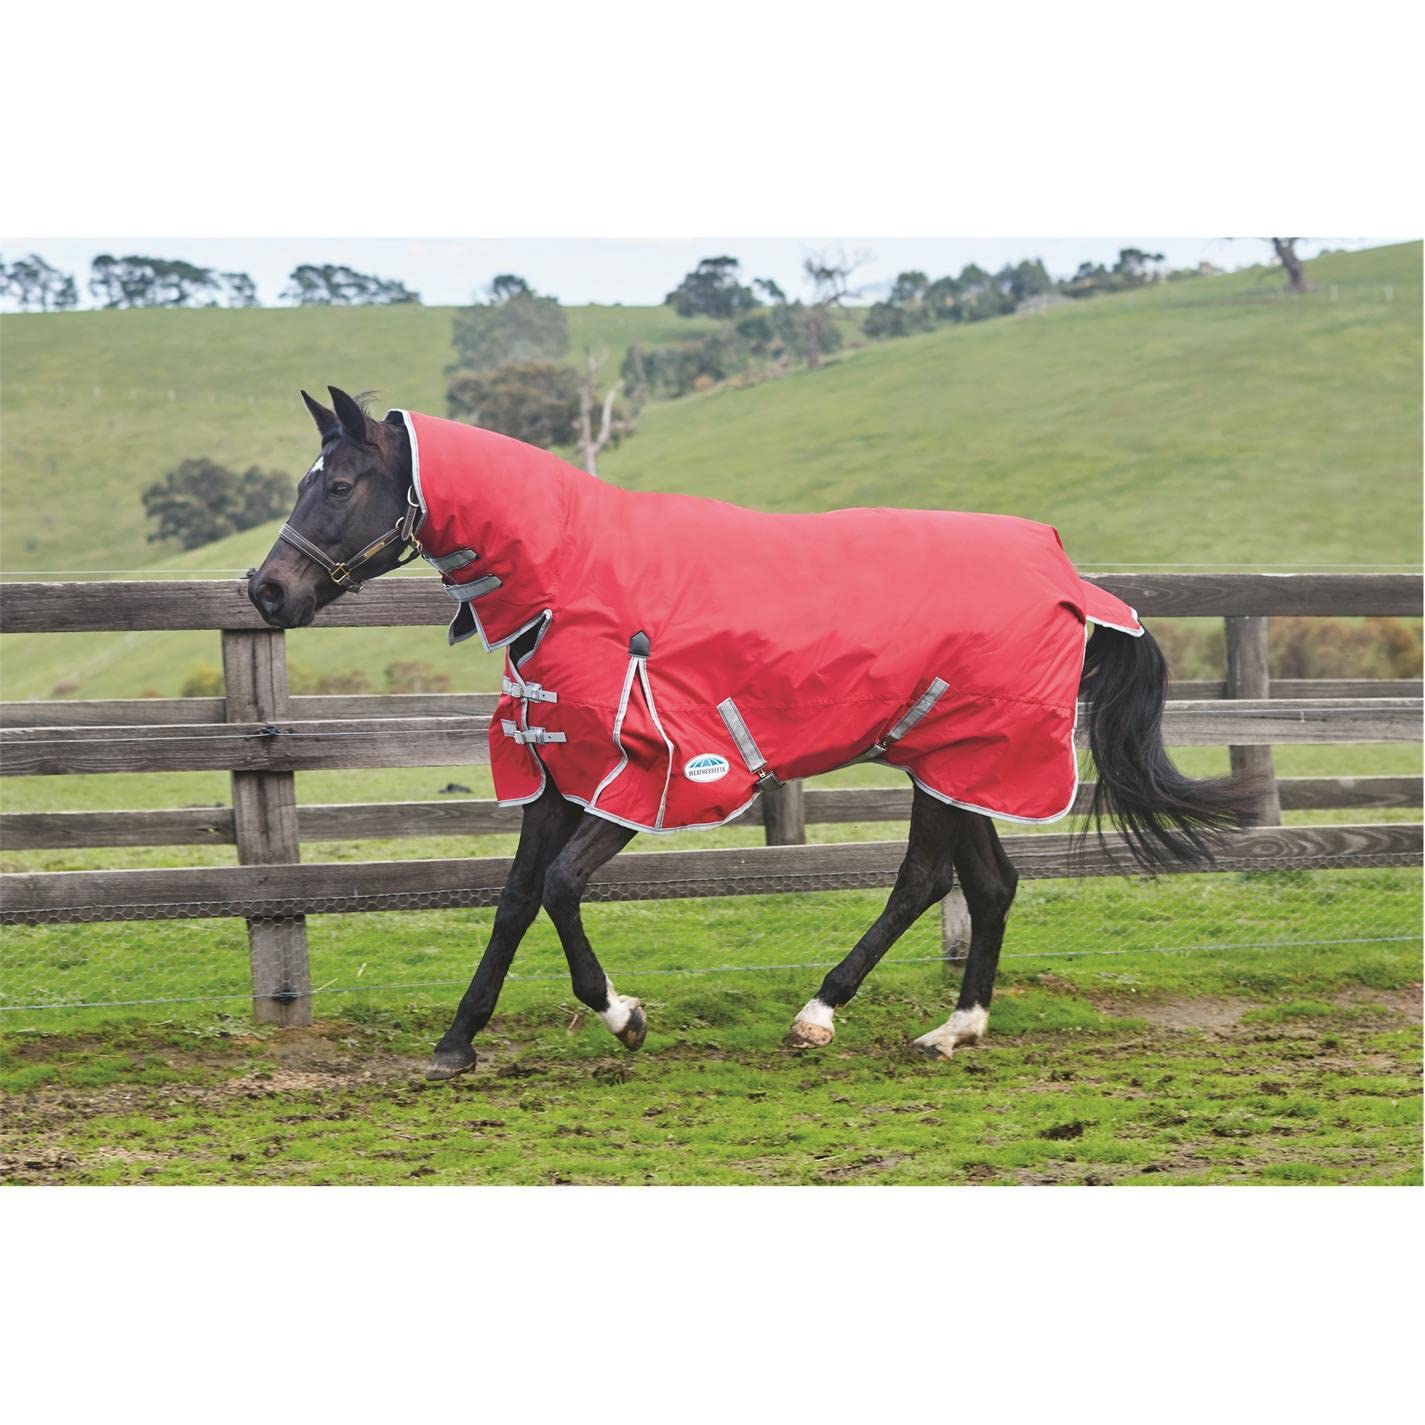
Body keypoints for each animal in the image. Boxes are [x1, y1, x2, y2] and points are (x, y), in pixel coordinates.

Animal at [249, 385, 1253, 1081]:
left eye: (339, 483)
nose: (267, 592)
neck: (572, 579)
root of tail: (1065, 574)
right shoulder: (558, 774)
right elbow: (515, 900)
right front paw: (457, 1040)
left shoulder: (651, 777)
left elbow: (564, 888)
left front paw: (623, 1016)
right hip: (949, 760)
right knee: (982, 883)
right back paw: (946, 1027)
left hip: (959, 758)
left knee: (932, 881)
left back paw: (825, 1013)